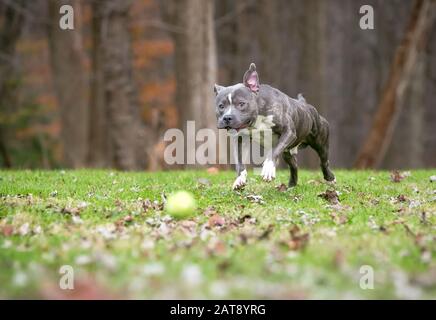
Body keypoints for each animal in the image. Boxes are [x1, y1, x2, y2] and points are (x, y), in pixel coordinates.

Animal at [216, 62, 336, 190]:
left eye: (241, 104)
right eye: (221, 106)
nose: (227, 118)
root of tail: (306, 105)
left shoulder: (288, 132)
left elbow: (274, 151)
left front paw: (268, 169)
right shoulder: (240, 140)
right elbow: (239, 162)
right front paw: (240, 179)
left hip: (320, 143)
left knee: (324, 161)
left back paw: (330, 178)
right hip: (288, 152)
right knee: (294, 165)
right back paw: (291, 186)